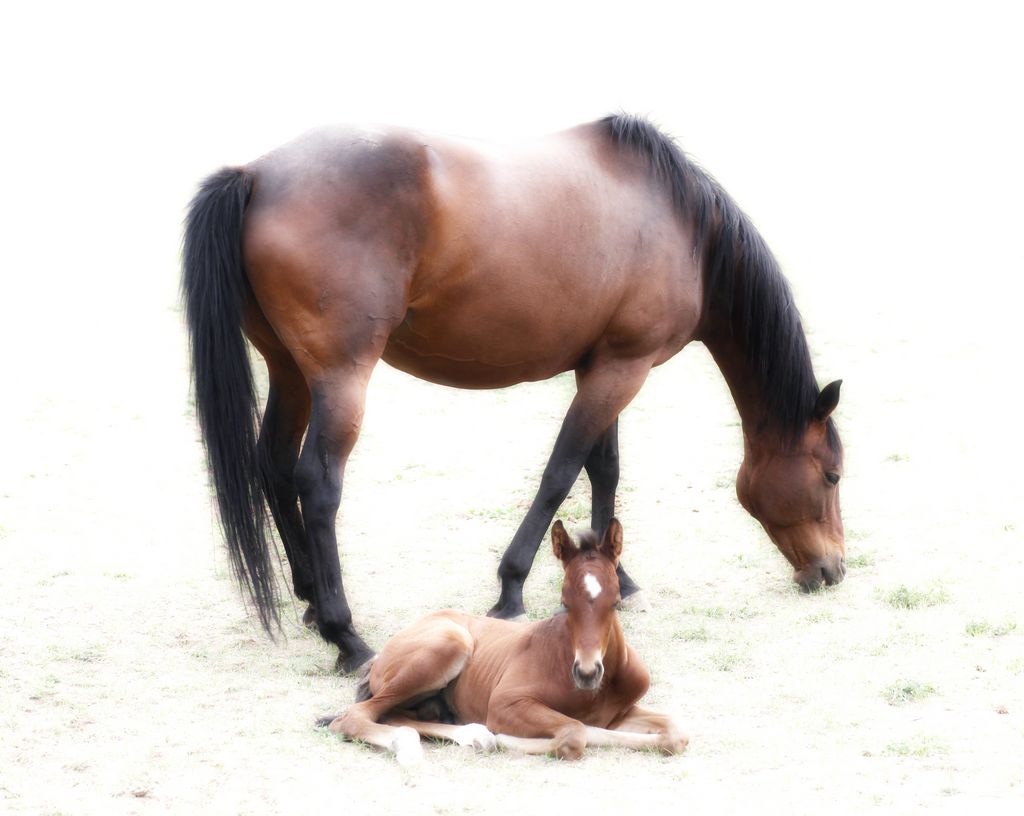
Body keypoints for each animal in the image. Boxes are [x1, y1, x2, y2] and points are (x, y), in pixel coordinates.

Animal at [184, 116, 847, 675]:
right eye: (833, 475)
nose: (833, 570)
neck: (685, 230)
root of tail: (257, 175)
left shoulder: (606, 365)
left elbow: (603, 469)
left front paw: (619, 579)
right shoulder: (622, 369)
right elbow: (560, 473)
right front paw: (511, 589)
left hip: (291, 370)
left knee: (273, 466)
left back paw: (308, 599)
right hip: (340, 377)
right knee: (317, 486)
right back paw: (346, 636)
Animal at [317, 522, 688, 765]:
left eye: (614, 602)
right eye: (564, 602)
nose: (586, 672)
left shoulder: (618, 714)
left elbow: (675, 733)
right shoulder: (505, 704)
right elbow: (575, 732)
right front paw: (504, 738)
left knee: (391, 714)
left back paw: (470, 734)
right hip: (448, 643)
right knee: (355, 716)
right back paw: (420, 742)